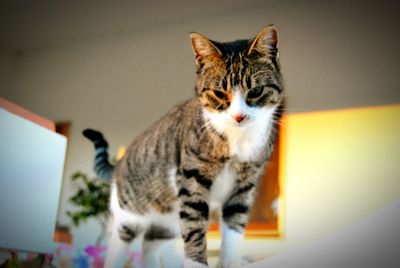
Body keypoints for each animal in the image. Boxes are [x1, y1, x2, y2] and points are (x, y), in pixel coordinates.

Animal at [83, 24, 282, 266]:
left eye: (255, 91)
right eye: (219, 93)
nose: (238, 116)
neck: (237, 140)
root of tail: (118, 164)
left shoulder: (244, 186)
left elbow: (234, 227)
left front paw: (232, 262)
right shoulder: (192, 180)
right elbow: (195, 227)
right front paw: (196, 263)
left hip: (168, 223)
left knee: (149, 243)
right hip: (129, 217)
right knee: (120, 244)